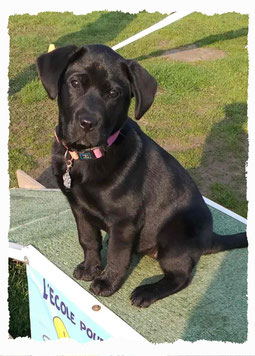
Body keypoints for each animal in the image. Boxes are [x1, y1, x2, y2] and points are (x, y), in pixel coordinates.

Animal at [36, 43, 247, 306]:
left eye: (113, 93)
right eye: (75, 83)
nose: (88, 123)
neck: (86, 156)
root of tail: (209, 237)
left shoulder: (125, 220)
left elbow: (117, 255)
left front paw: (107, 282)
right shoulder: (78, 208)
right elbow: (88, 239)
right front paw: (91, 268)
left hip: (175, 238)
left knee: (181, 277)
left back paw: (147, 291)